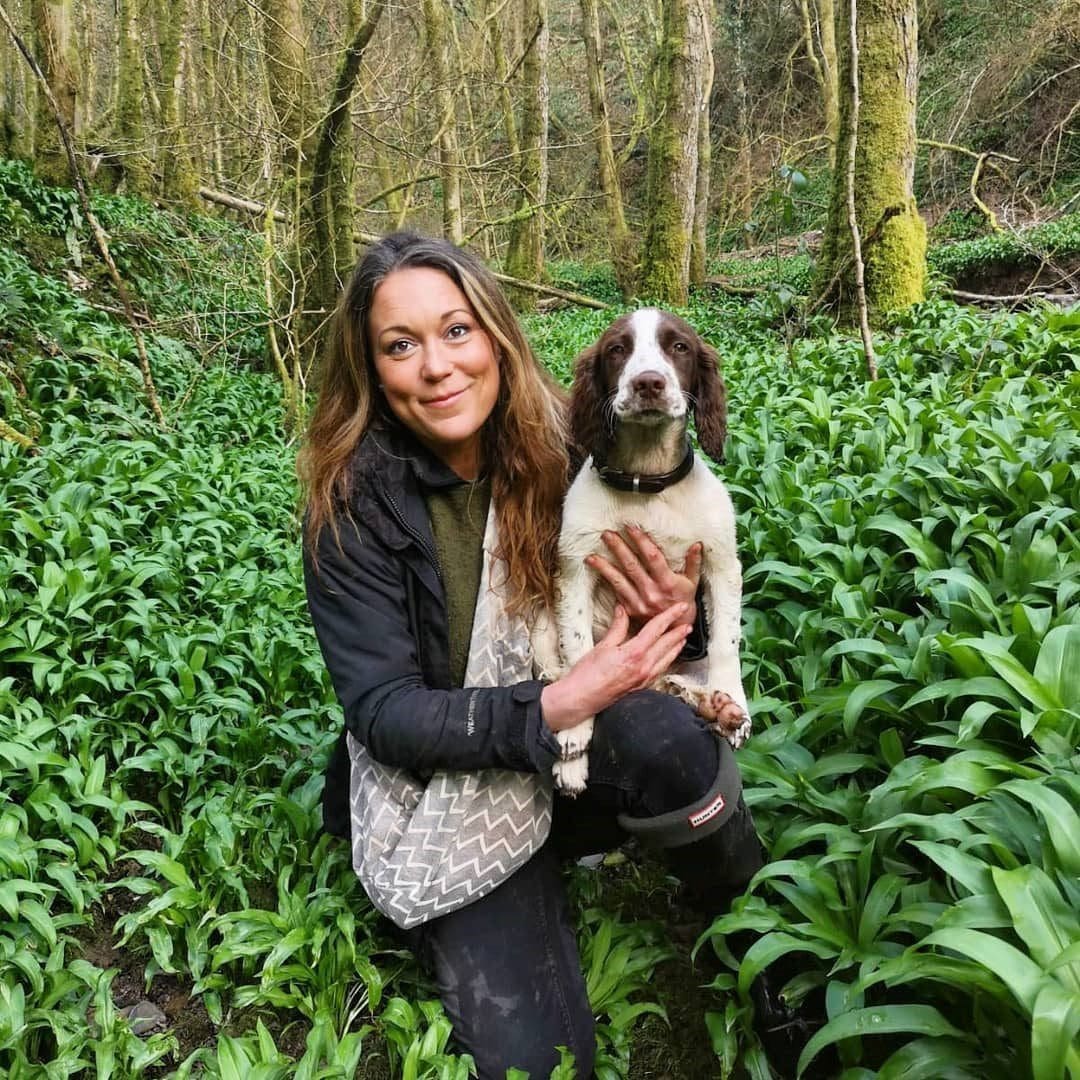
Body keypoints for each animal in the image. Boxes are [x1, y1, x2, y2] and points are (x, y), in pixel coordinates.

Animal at [533, 306, 751, 794]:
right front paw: (573, 732)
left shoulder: (722, 564)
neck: (647, 483)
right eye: (618, 350)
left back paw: (715, 705)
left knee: (674, 680)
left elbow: (727, 642)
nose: (648, 383)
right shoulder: (574, 569)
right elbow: (580, 654)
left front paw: (735, 699)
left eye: (679, 347)